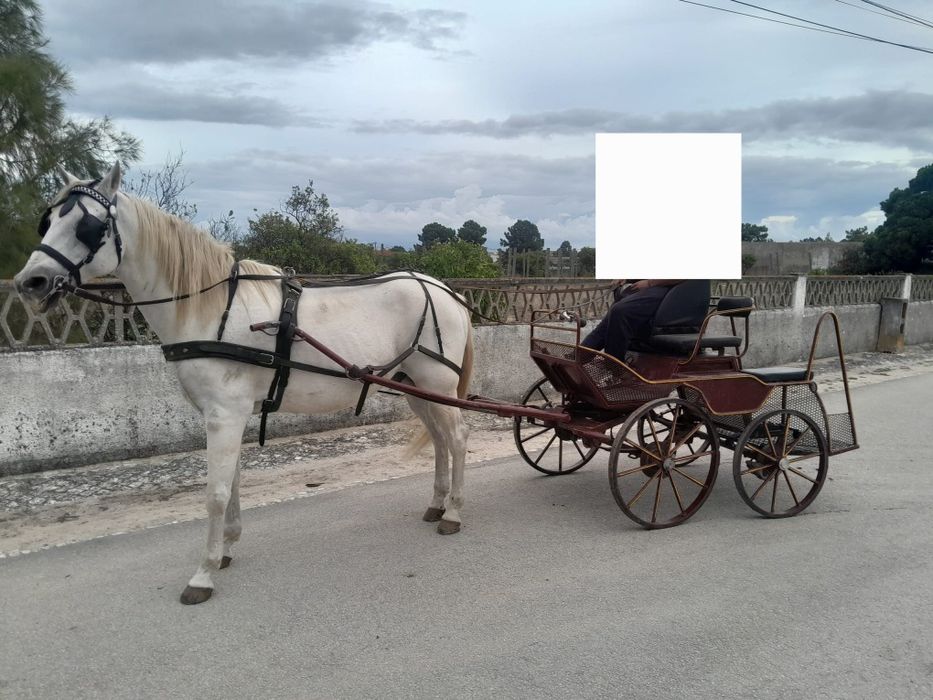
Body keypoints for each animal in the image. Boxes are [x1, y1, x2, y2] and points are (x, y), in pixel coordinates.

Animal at [13, 163, 474, 605]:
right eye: (48, 220)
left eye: (87, 226)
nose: (29, 282)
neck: (209, 306)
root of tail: (444, 290)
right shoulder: (223, 415)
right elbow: (232, 481)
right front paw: (226, 549)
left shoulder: (224, 414)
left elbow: (215, 493)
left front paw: (202, 574)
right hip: (416, 388)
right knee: (439, 440)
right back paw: (437, 504)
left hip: (437, 385)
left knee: (457, 438)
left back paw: (453, 513)